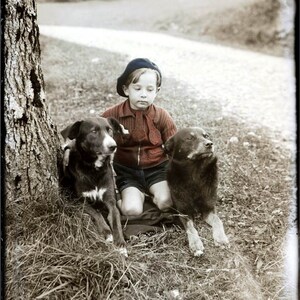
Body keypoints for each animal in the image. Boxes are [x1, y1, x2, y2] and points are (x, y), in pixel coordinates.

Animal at [165, 126, 229, 255]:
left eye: (206, 136)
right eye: (189, 138)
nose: (210, 144)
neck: (195, 173)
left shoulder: (209, 209)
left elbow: (218, 221)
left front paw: (220, 238)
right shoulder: (183, 212)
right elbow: (191, 228)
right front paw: (195, 243)